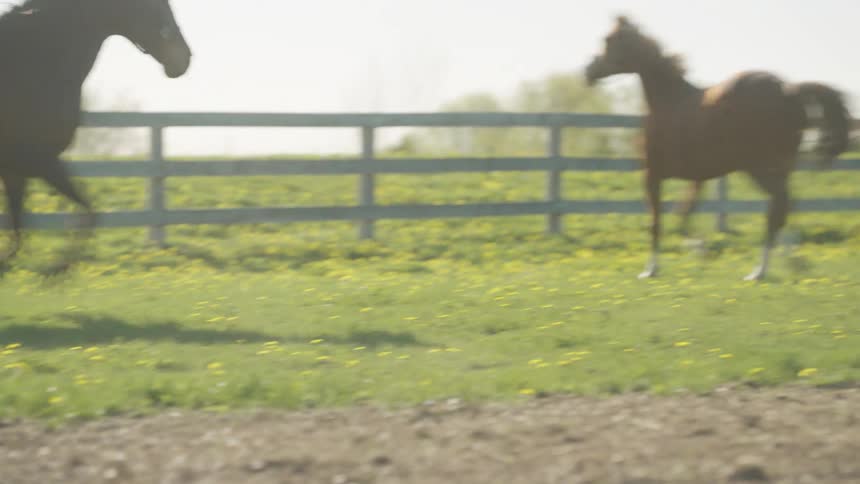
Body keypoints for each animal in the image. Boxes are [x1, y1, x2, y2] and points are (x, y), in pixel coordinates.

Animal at [0, 0, 192, 275]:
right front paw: (56, 270)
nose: (185, 58)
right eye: (158, 6)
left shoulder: (18, 169)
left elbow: (21, 231)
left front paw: (55, 270)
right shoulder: (39, 161)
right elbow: (85, 213)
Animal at [585, 16, 850, 280]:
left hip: (760, 168)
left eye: (609, 40)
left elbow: (657, 222)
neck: (668, 102)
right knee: (784, 207)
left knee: (778, 209)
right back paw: (792, 262)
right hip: (779, 168)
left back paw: (759, 272)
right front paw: (701, 250)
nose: (589, 71)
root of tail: (788, 90)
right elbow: (682, 216)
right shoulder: (697, 178)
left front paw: (651, 270)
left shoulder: (652, 174)